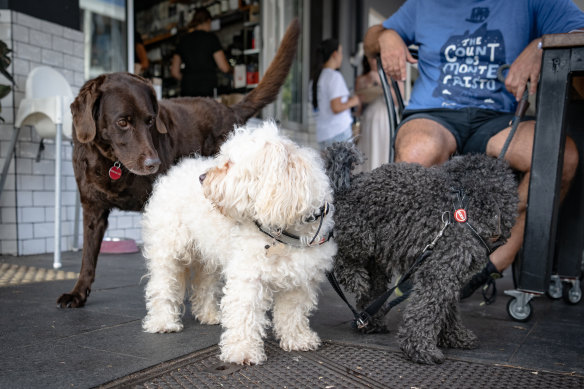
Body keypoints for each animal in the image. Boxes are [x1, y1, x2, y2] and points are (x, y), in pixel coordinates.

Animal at [140, 120, 338, 364]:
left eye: (230, 163)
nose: (202, 178)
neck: (285, 231)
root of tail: (174, 171)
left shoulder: (300, 281)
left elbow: (293, 312)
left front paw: (297, 338)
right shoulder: (248, 276)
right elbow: (245, 313)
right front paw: (242, 350)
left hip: (209, 255)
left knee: (205, 284)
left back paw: (209, 314)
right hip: (169, 249)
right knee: (162, 284)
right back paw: (163, 322)